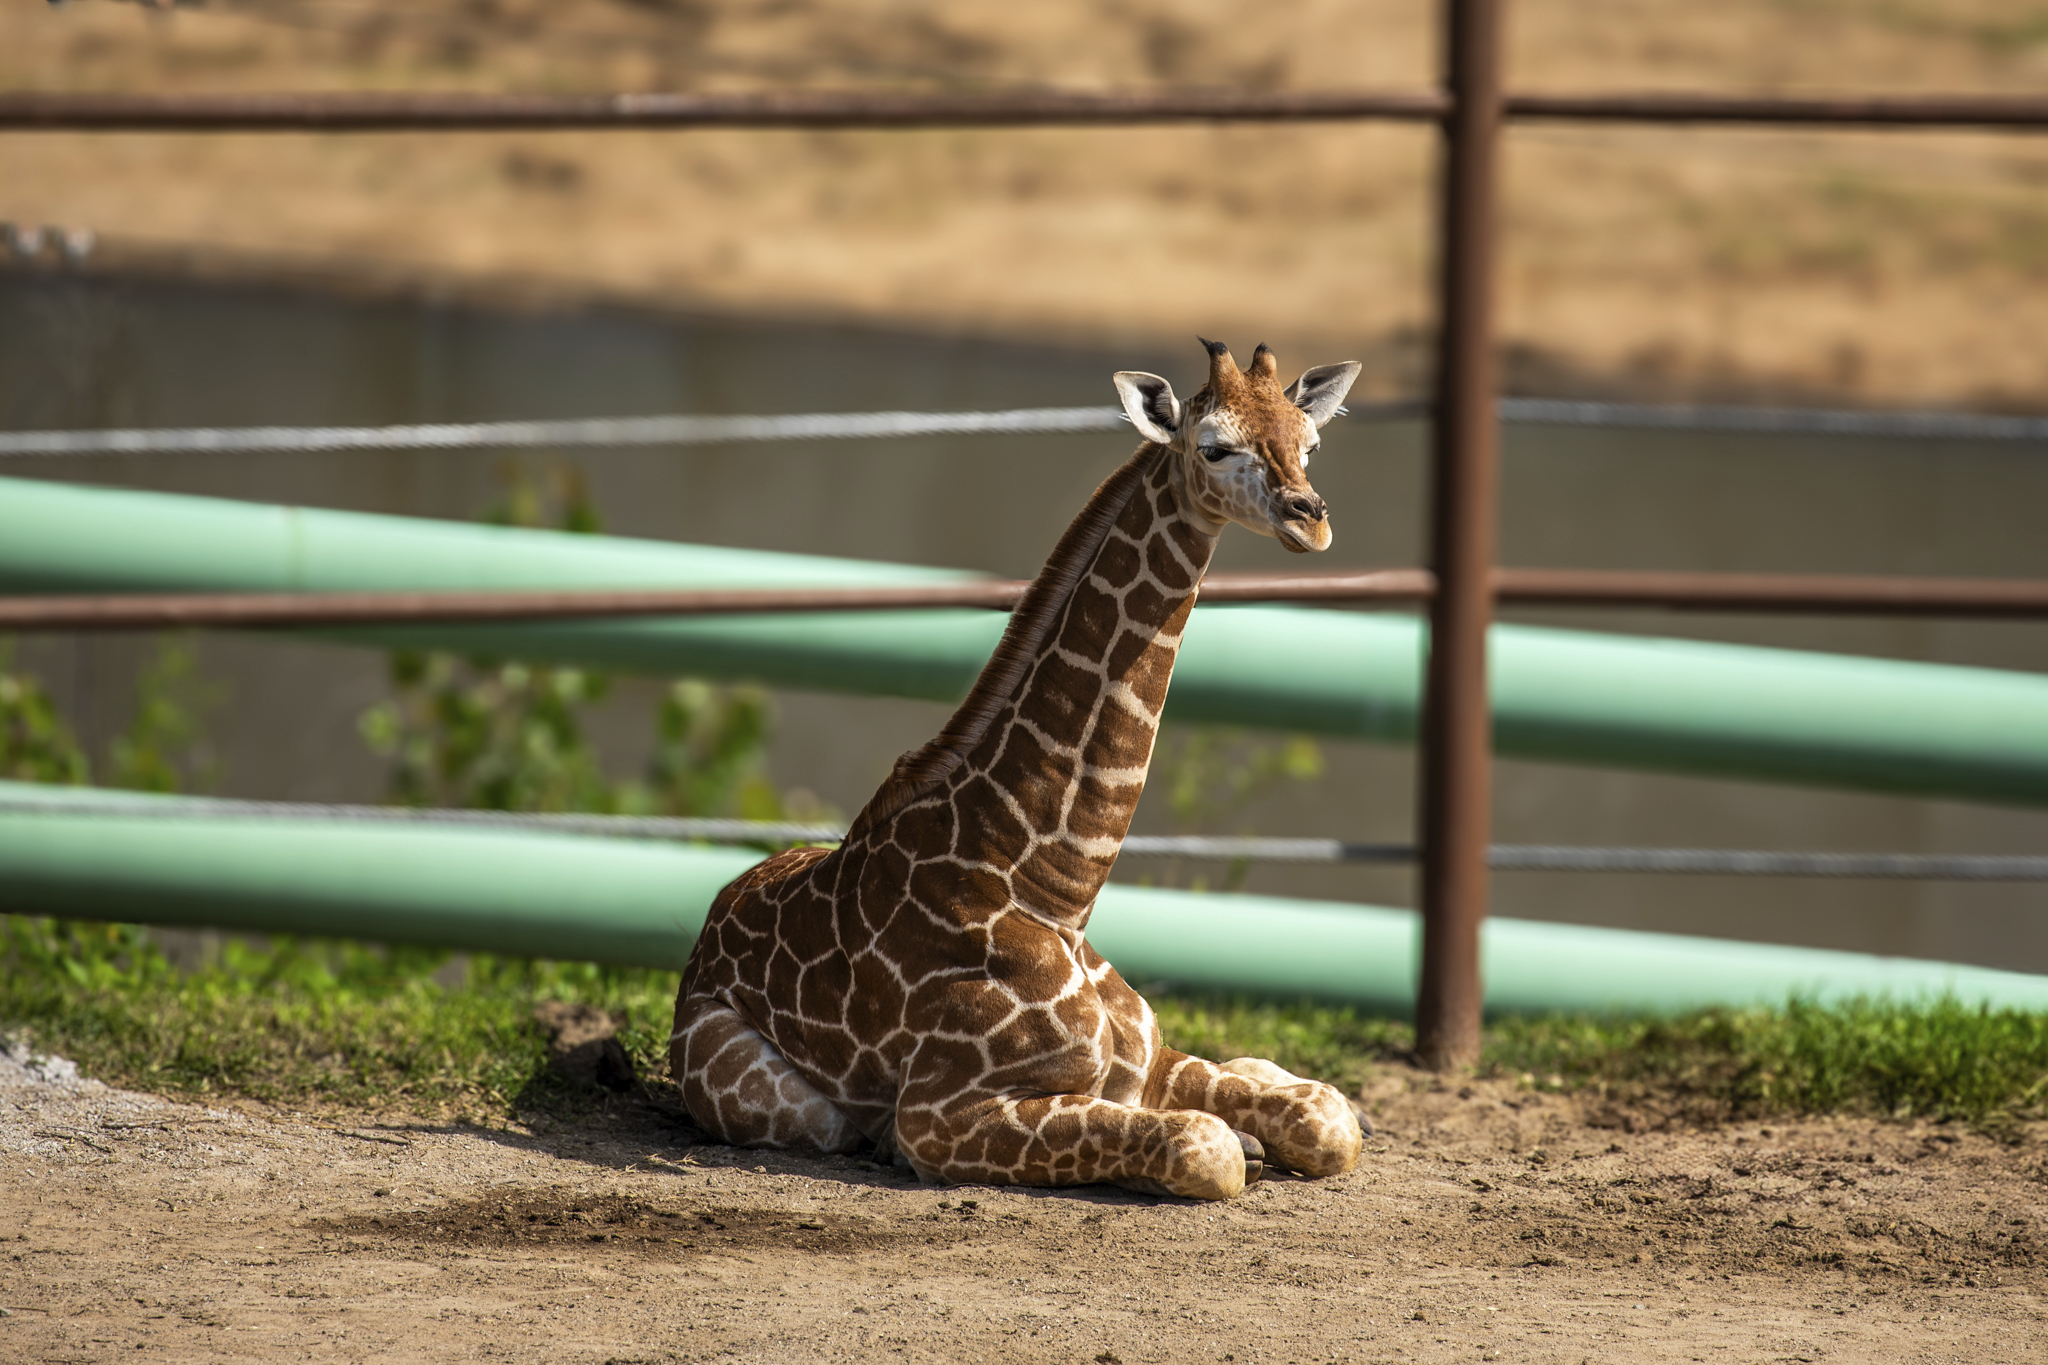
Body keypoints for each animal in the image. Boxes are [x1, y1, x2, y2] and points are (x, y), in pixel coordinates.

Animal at [671, 340, 1366, 1201]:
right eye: (1213, 446)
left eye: (1310, 443)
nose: (1312, 518)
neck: (1054, 890)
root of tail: (711, 920)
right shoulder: (941, 1114)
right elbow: (1207, 1146)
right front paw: (1235, 1140)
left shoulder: (1146, 1059)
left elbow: (1328, 1119)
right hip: (782, 1100)